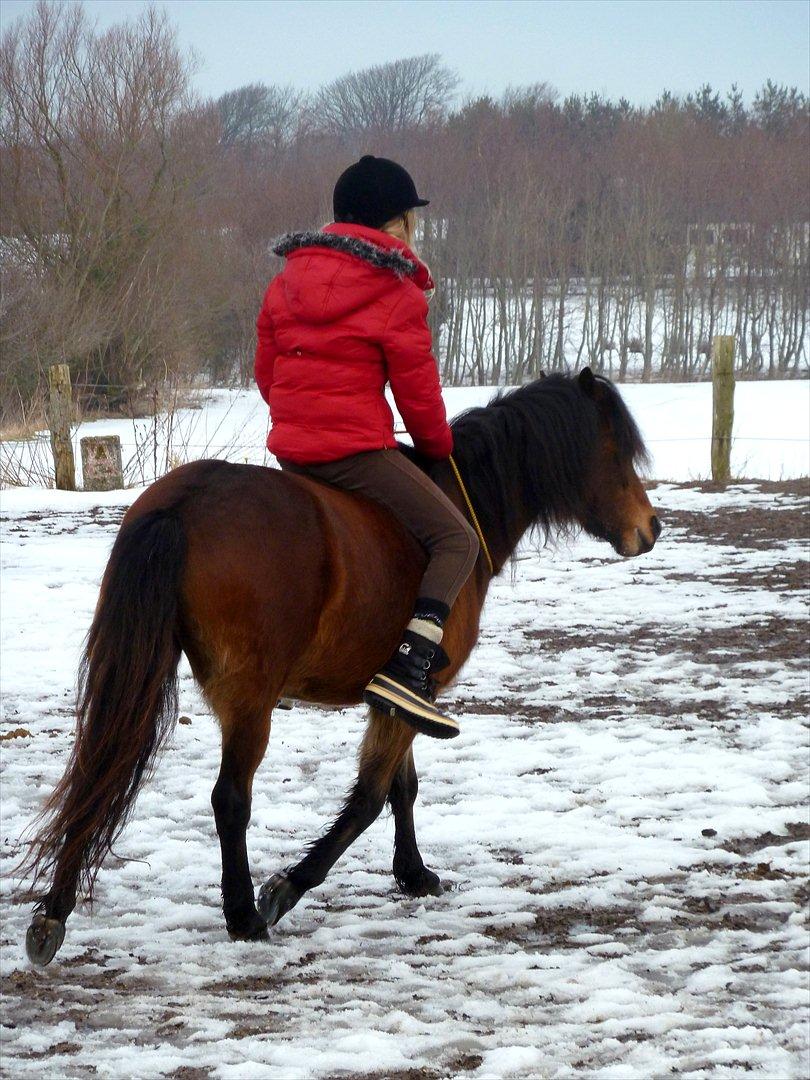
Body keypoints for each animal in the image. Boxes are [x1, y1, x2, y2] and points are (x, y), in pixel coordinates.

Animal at [22, 368, 660, 965]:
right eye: (615, 452)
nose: (650, 529)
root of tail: (188, 501)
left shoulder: (403, 696)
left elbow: (404, 787)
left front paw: (413, 874)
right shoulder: (415, 692)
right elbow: (372, 796)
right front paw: (287, 887)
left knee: (100, 766)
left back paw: (54, 912)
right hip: (250, 701)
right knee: (230, 800)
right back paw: (244, 915)